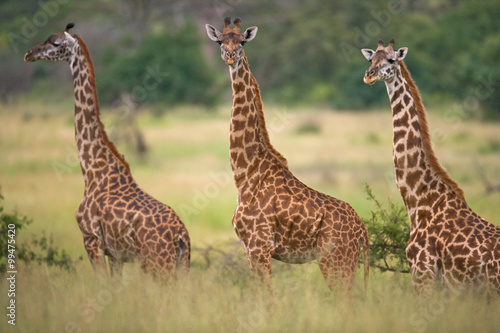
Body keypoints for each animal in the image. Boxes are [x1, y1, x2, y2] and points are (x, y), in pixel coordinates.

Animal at [22, 22, 189, 278]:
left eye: (55, 43)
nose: (29, 54)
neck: (91, 167)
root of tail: (181, 235)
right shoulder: (116, 255)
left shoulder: (91, 239)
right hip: (181, 266)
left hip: (157, 264)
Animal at [205, 16, 370, 292]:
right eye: (220, 41)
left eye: (241, 42)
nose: (230, 56)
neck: (246, 174)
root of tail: (362, 230)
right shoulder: (250, 249)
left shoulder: (259, 247)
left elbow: (266, 297)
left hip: (336, 260)